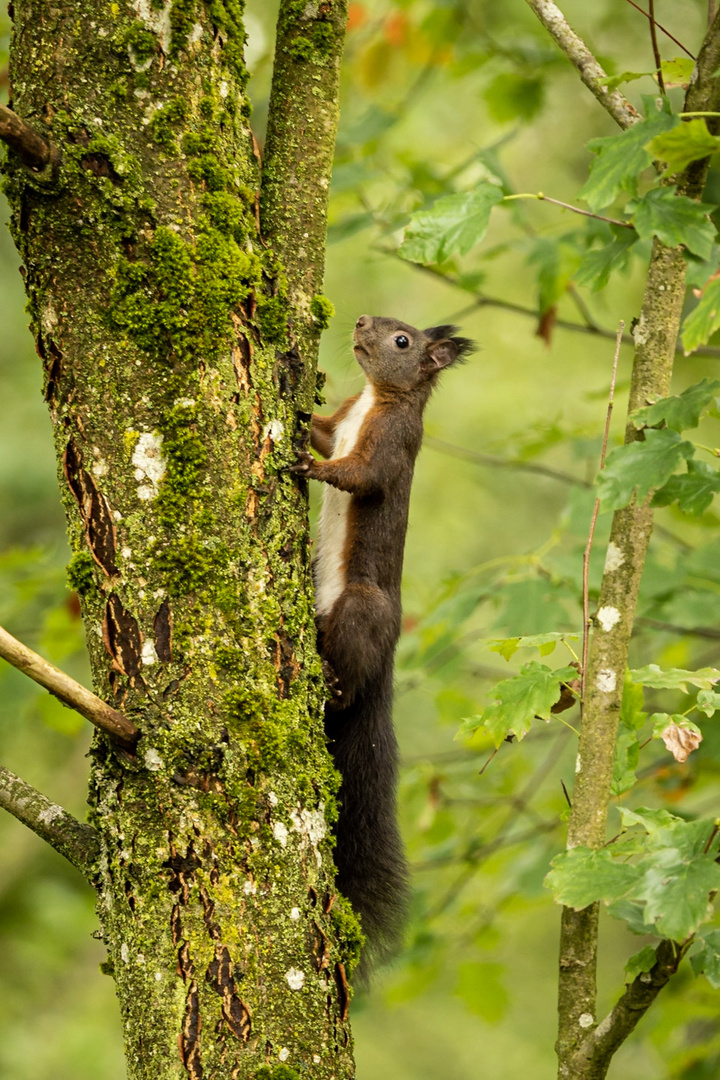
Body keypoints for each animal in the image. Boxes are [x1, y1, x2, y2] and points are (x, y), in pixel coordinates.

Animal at [289, 315, 474, 980]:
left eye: (403, 343)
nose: (362, 322)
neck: (377, 398)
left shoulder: (392, 442)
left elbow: (359, 474)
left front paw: (308, 469)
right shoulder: (346, 418)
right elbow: (324, 434)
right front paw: (298, 399)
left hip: (363, 608)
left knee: (346, 690)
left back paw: (328, 687)